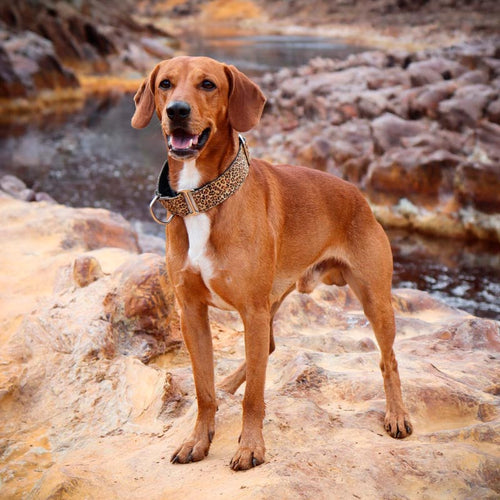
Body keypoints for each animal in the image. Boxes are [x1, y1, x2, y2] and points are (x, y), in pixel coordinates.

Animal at [131, 56, 412, 470]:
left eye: (208, 84)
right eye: (165, 84)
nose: (176, 111)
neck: (203, 199)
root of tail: (358, 195)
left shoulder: (252, 310)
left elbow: (255, 396)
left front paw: (250, 447)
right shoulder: (193, 313)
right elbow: (204, 390)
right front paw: (199, 439)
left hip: (374, 300)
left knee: (388, 359)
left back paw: (397, 415)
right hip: (273, 301)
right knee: (267, 349)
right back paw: (228, 384)